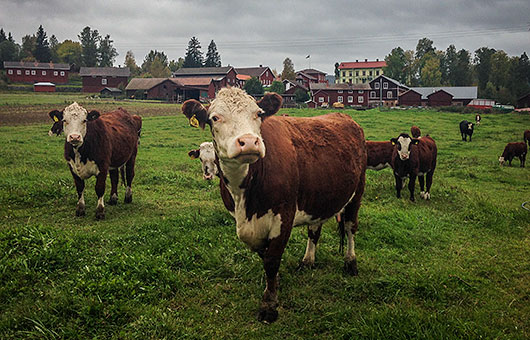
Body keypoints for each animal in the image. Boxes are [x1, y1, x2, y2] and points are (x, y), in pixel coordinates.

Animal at [179, 86, 366, 322]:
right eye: (215, 118)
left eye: (258, 114)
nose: (249, 142)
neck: (245, 198)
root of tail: (343, 116)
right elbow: (265, 256)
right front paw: (274, 286)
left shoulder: (284, 216)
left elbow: (272, 260)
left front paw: (269, 305)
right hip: (320, 196)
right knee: (314, 230)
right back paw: (308, 261)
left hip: (357, 192)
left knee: (350, 227)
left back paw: (351, 263)